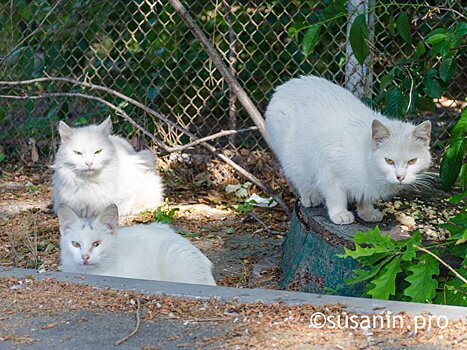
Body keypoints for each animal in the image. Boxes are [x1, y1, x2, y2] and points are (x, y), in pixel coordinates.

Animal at [266, 75, 434, 226]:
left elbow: (365, 196)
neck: (366, 161)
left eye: (412, 161)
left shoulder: (365, 185)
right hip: (292, 158)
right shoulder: (329, 173)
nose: (400, 177)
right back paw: (311, 197)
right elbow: (336, 196)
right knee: (299, 178)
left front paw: (367, 212)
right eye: (389, 161)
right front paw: (340, 214)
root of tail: (286, 85)